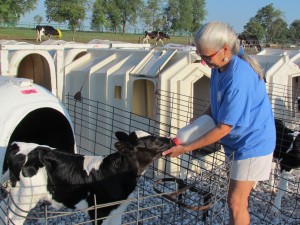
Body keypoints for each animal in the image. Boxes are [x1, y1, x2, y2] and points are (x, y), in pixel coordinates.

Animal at [0, 131, 173, 224]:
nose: (170, 139)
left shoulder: (118, 209)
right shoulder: (98, 211)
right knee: (12, 218)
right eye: (152, 141)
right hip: (24, 197)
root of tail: (17, 144)